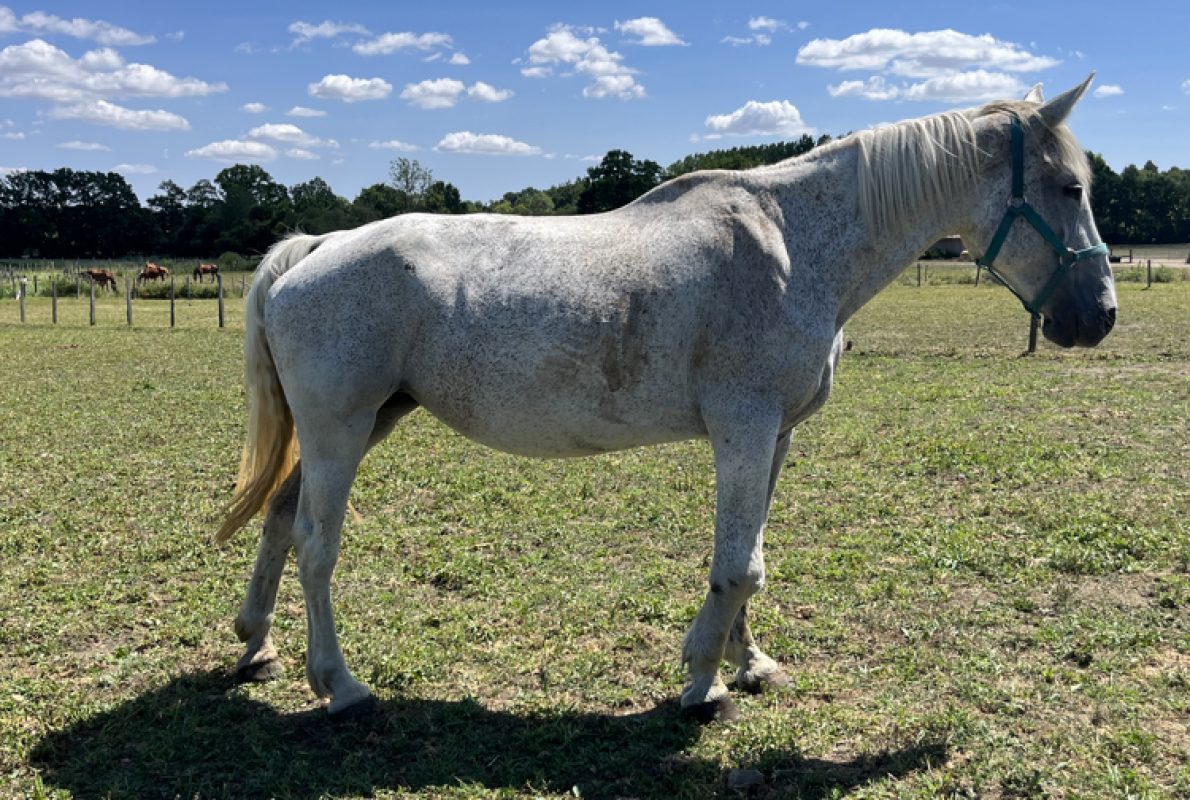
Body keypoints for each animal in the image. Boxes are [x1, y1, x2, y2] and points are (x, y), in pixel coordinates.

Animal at [217, 76, 1116, 722]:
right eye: (1068, 187)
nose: (1099, 316)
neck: (792, 245)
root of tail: (319, 245)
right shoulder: (744, 428)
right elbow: (736, 565)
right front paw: (699, 681)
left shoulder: (774, 435)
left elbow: (748, 557)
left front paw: (748, 665)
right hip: (339, 431)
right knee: (316, 545)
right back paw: (340, 684)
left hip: (365, 423)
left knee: (278, 521)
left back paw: (256, 643)